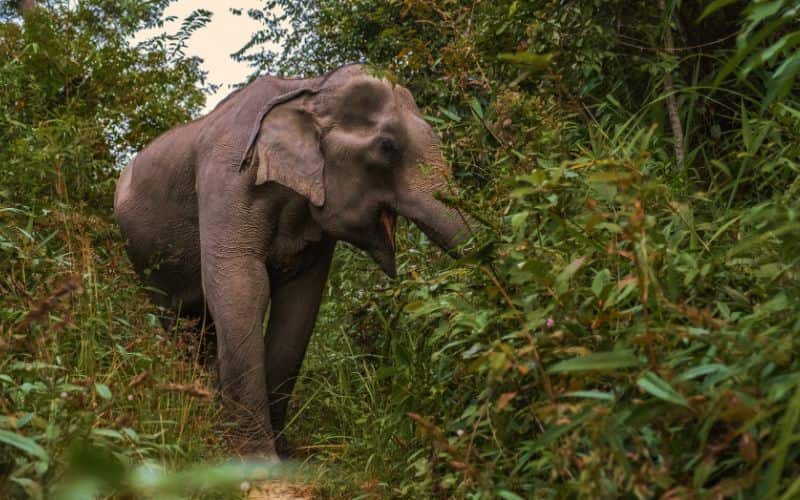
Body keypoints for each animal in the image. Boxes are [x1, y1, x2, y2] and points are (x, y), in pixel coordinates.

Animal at [113, 63, 470, 457]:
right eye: (387, 147)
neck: (308, 90)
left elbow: (299, 303)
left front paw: (284, 453)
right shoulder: (228, 179)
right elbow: (243, 286)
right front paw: (255, 457)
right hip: (143, 258)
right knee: (179, 321)